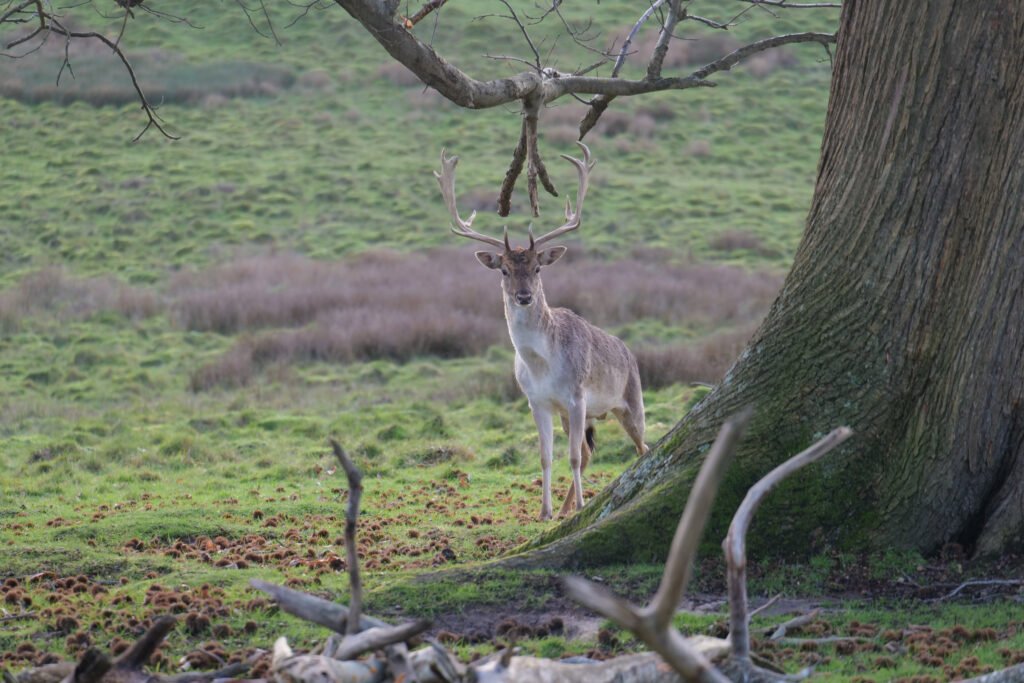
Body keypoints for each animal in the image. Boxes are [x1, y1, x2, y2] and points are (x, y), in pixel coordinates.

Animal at [434, 142, 649, 521]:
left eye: (537, 268)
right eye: (504, 270)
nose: (524, 296)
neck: (542, 365)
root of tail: (628, 351)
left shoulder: (577, 396)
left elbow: (573, 456)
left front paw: (581, 506)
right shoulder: (537, 402)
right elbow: (546, 457)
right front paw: (545, 512)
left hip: (631, 400)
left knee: (643, 446)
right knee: (592, 451)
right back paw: (563, 510)